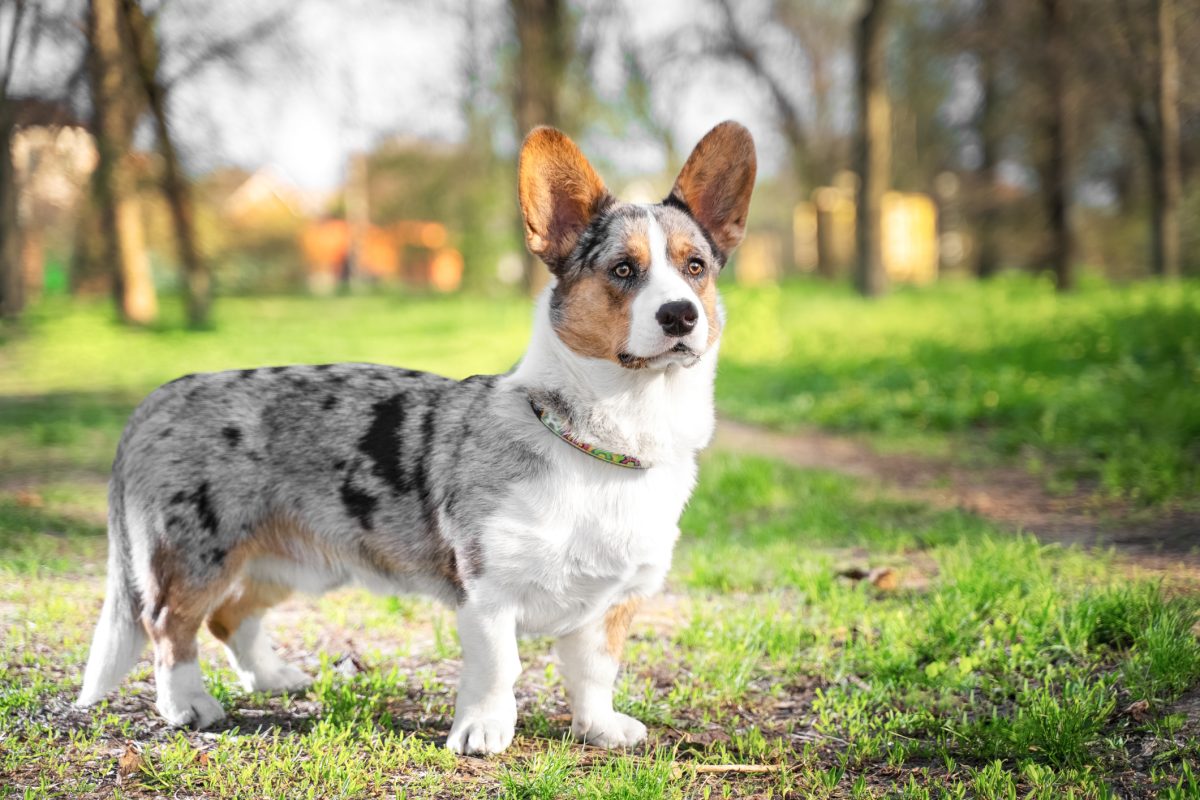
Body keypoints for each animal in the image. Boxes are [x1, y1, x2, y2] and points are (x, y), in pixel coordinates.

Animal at [75, 120, 753, 758]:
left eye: (695, 267)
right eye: (623, 269)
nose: (681, 315)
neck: (603, 439)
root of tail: (157, 400)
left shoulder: (614, 602)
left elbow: (594, 674)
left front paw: (601, 729)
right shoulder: (488, 595)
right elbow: (499, 668)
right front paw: (482, 732)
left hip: (290, 563)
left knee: (229, 616)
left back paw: (272, 678)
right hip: (196, 558)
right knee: (171, 626)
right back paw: (187, 706)